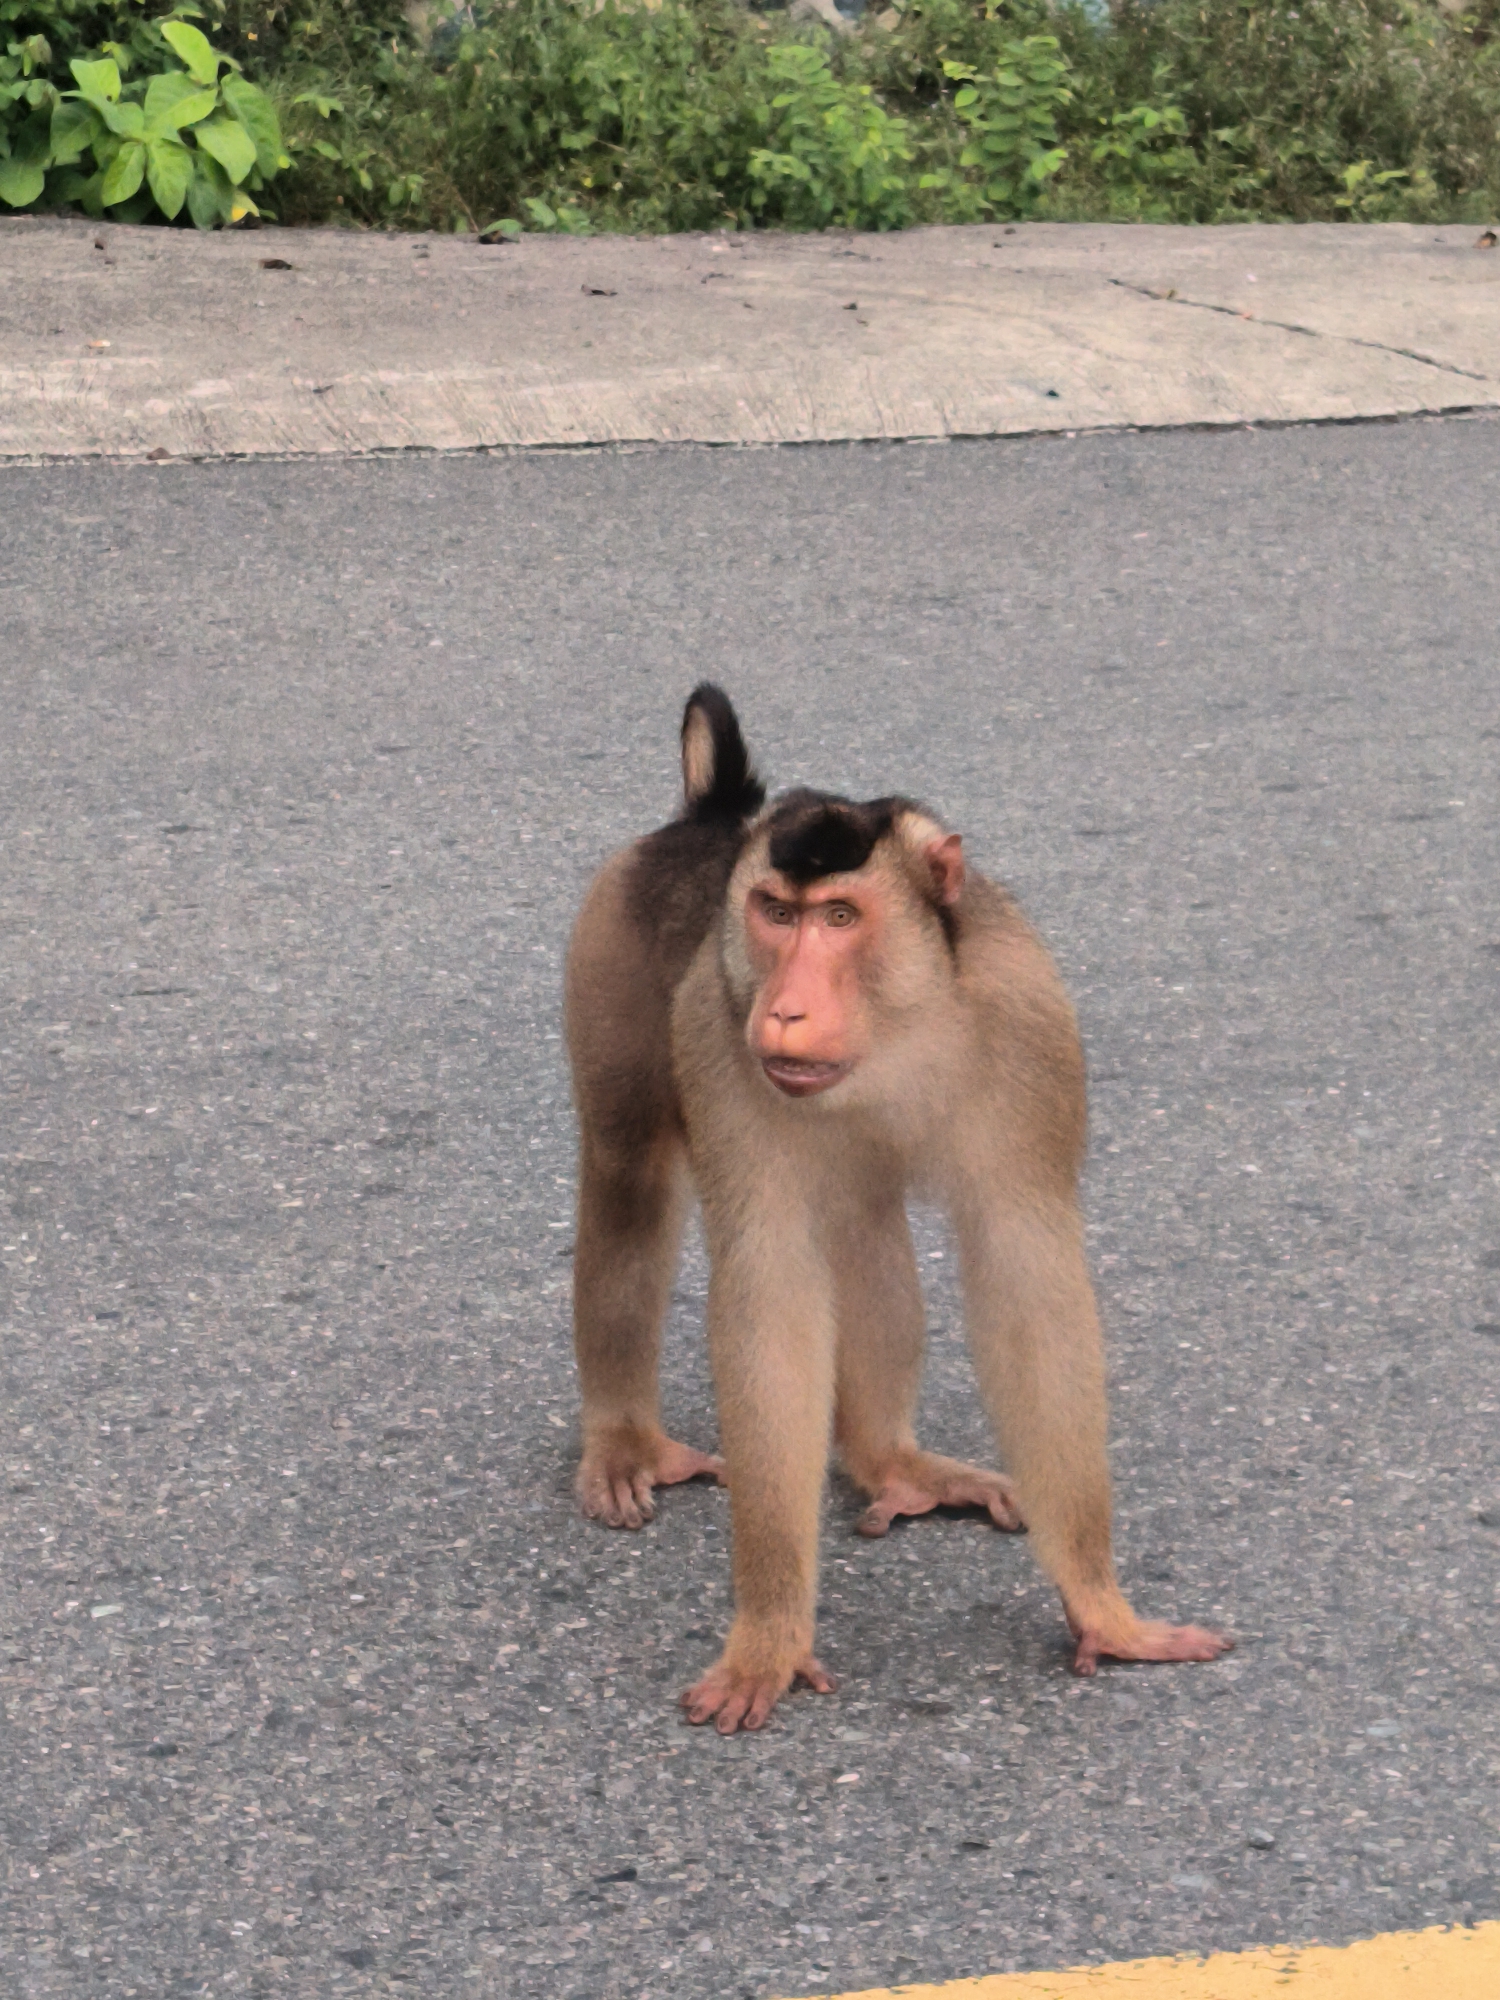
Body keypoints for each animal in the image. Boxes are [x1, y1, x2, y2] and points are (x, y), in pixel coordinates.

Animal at [564, 686, 1231, 1734]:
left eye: (841, 916)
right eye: (775, 913)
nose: (786, 1010)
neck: (896, 1027)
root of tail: (707, 816)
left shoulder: (1028, 1021)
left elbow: (1026, 1269)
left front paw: (1099, 1603)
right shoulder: (718, 1036)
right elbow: (771, 1294)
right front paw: (771, 1633)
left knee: (866, 1221)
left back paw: (890, 1462)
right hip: (610, 962)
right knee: (629, 1170)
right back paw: (627, 1439)